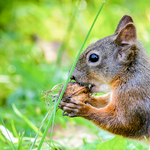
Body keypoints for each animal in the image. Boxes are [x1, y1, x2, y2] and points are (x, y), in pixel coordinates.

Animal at [59, 14, 150, 143]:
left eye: (93, 57)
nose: (71, 75)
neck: (127, 74)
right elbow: (103, 101)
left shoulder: (133, 95)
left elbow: (125, 123)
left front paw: (82, 109)